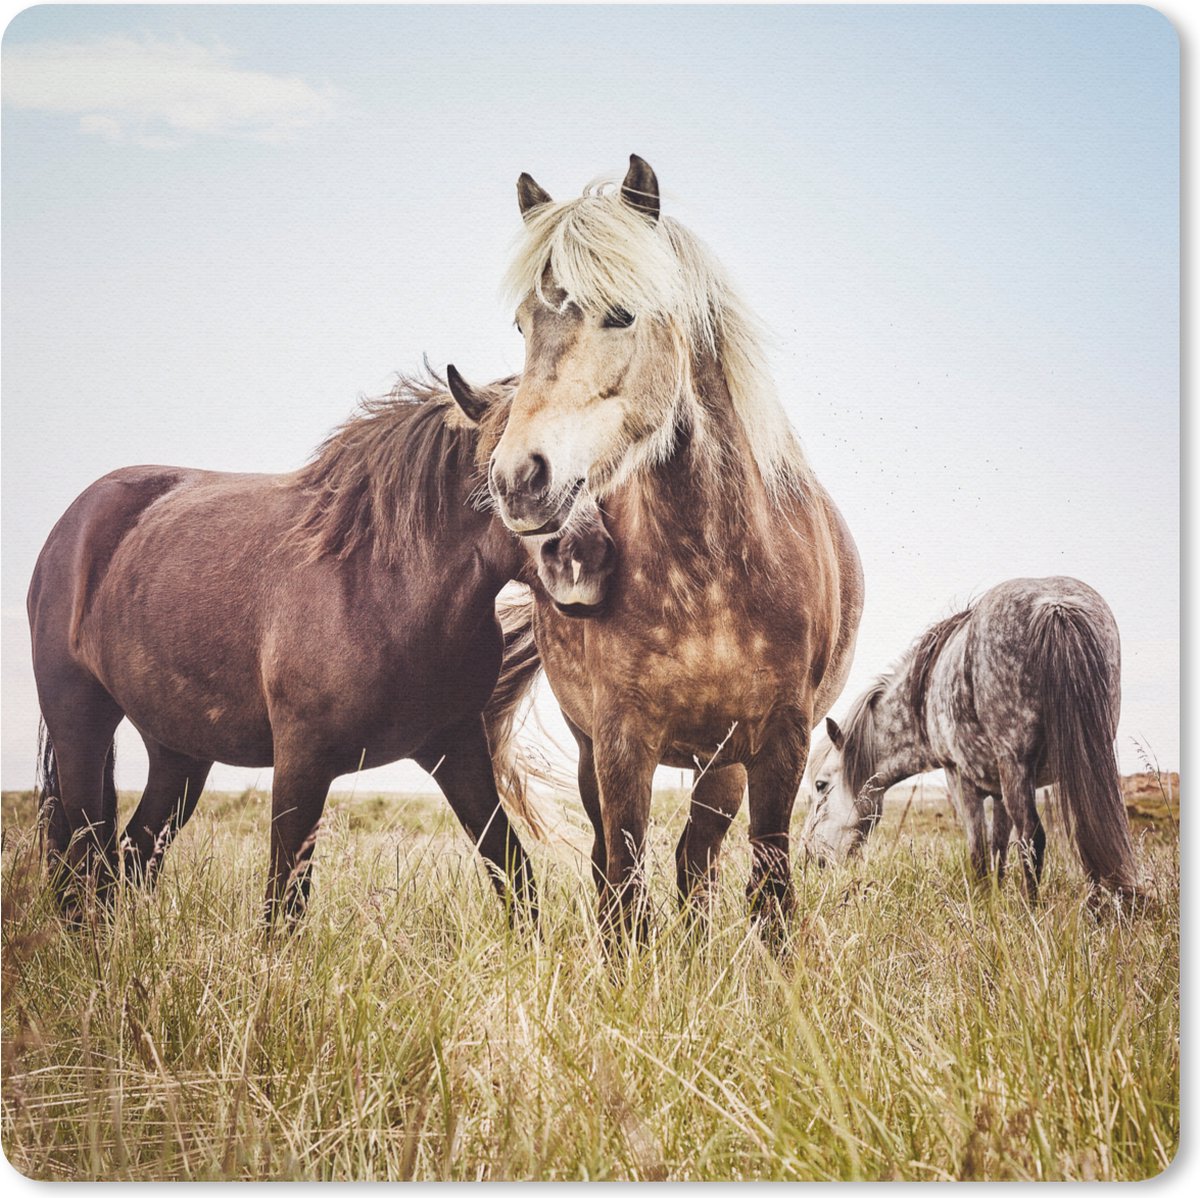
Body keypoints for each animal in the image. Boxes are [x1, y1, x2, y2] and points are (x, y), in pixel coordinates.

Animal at [27, 370, 614, 924]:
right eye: (507, 467)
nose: (588, 557)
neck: (383, 583)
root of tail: (71, 526)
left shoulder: (457, 748)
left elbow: (514, 872)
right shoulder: (301, 762)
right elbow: (284, 901)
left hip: (179, 753)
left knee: (130, 855)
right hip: (81, 726)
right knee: (84, 857)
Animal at [449, 155, 864, 940]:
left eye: (620, 313)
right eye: (523, 323)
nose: (519, 479)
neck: (710, 573)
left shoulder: (780, 744)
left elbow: (770, 887)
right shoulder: (620, 743)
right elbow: (624, 885)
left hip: (720, 764)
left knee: (697, 860)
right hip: (602, 753)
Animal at [799, 576, 1138, 901]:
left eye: (821, 785)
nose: (810, 857)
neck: (922, 696)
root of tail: (1055, 606)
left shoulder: (960, 778)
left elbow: (979, 851)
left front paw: (983, 904)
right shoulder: (999, 792)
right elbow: (998, 849)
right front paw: (996, 902)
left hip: (1017, 766)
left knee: (1032, 836)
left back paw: (1031, 910)